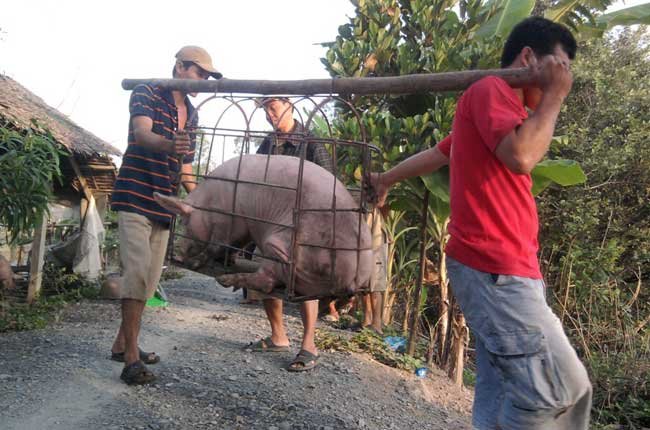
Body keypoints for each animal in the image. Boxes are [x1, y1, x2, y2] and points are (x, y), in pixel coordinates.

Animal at [154, 155, 372, 298]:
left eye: (185, 222)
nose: (178, 255)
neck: (209, 203)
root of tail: (352, 279)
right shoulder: (244, 228)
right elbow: (235, 245)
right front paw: (230, 259)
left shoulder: (229, 220)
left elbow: (216, 245)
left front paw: (195, 263)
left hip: (285, 246)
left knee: (267, 281)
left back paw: (225, 280)